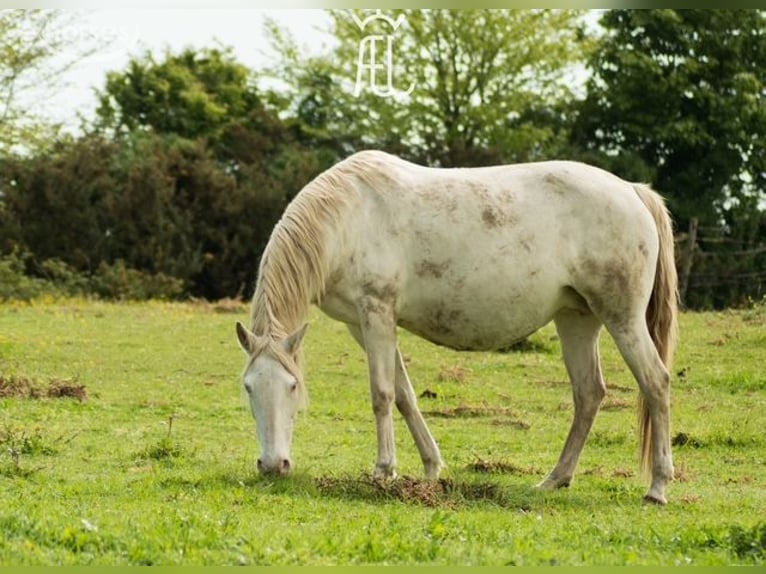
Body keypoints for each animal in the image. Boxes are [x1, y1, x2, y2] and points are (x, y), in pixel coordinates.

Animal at [235, 150, 679, 504]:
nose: (273, 465)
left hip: (622, 318)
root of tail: (632, 191)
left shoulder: (377, 313)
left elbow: (381, 394)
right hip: (577, 320)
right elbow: (404, 395)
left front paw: (383, 471)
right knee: (589, 394)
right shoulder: (362, 326)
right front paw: (431, 466)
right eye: (248, 387)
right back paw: (555, 479)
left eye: (293, 386)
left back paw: (657, 488)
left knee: (655, 382)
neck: (349, 216)